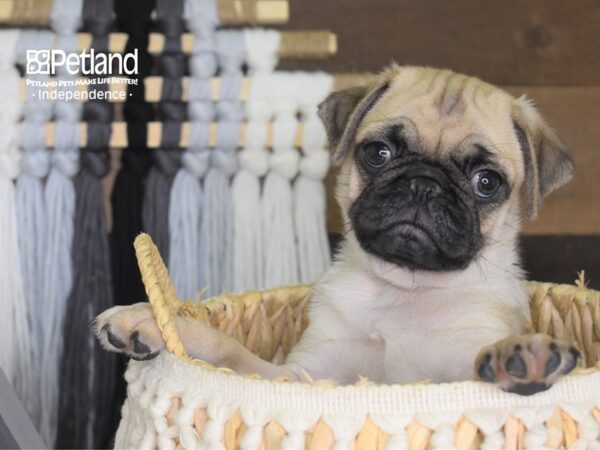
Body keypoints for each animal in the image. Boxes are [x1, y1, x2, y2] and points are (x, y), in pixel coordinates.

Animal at [96, 66, 580, 394]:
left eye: (487, 182)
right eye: (379, 153)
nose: (423, 184)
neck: (406, 292)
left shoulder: (458, 368)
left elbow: (481, 358)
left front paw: (519, 356)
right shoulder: (299, 376)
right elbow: (228, 348)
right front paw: (150, 318)